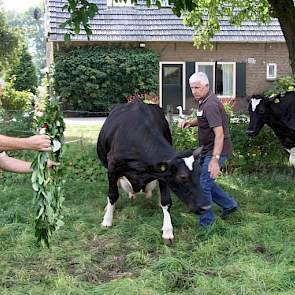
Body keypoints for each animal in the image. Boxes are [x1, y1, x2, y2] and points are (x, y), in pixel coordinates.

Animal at [98, 98, 212, 244]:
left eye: (199, 173)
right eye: (182, 177)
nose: (206, 207)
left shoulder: (162, 174)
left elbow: (166, 200)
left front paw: (168, 231)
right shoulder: (112, 167)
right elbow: (112, 195)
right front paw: (107, 221)